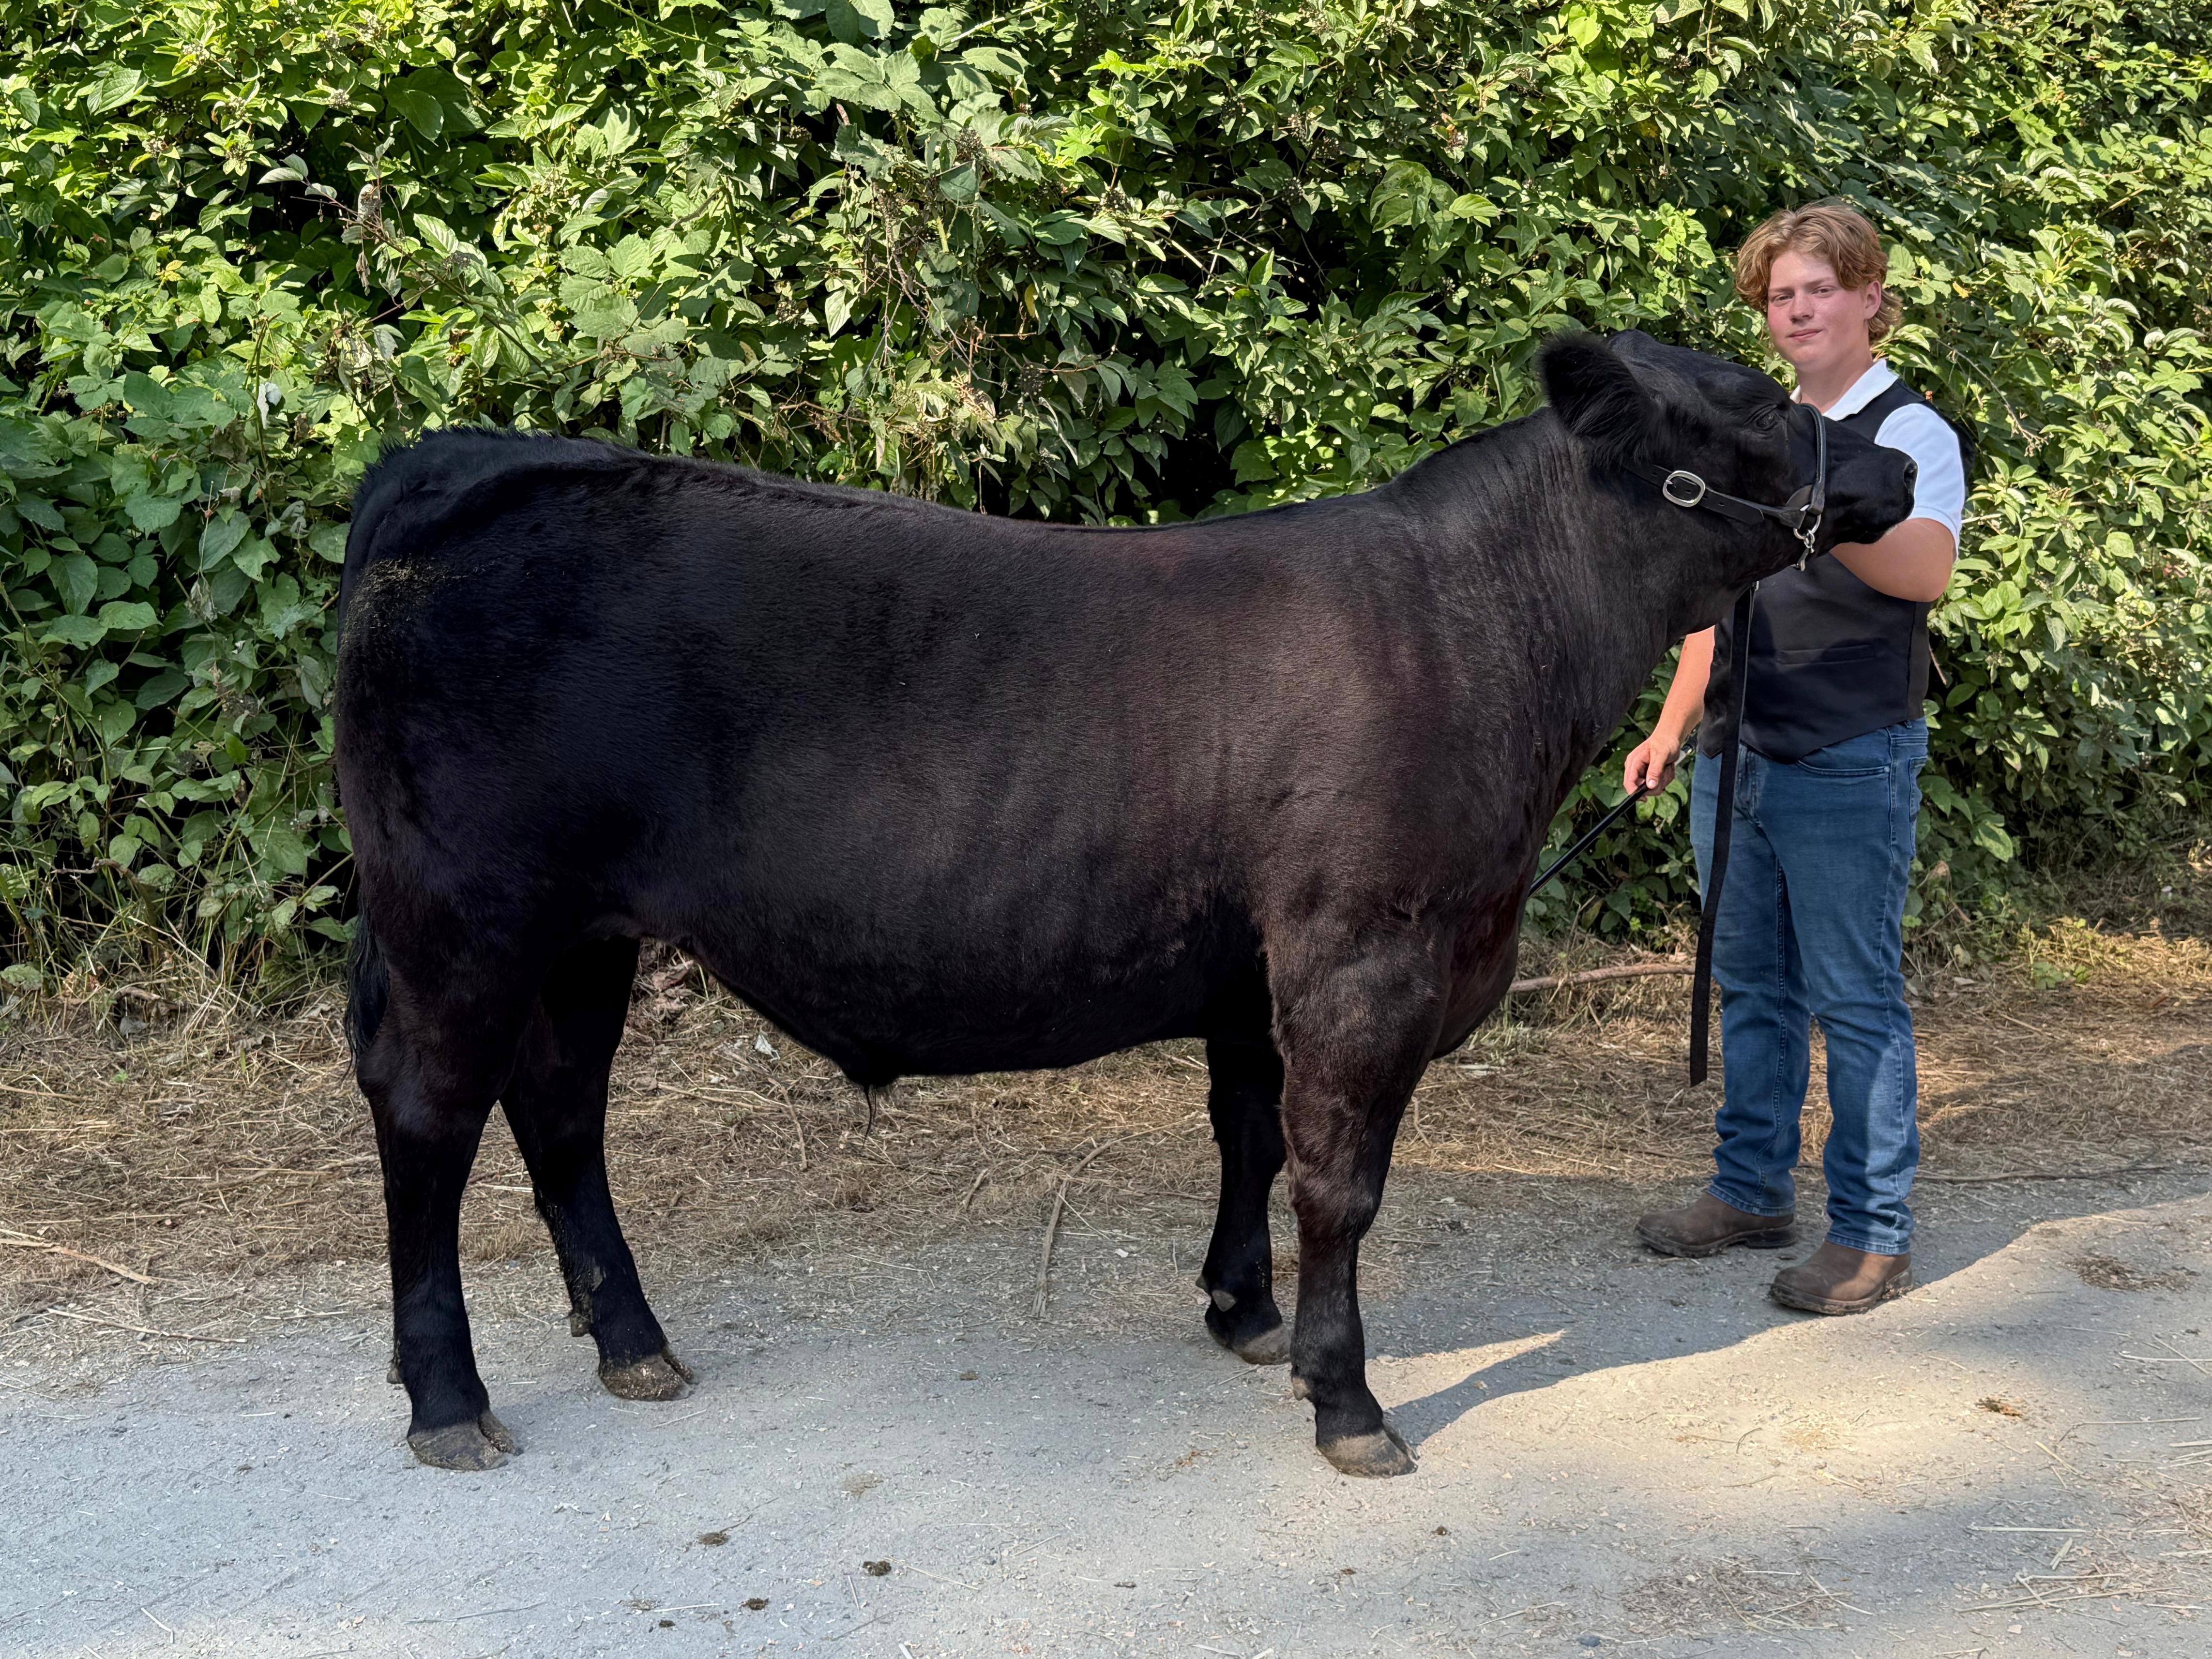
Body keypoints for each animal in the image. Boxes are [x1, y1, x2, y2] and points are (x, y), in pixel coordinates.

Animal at [335, 330, 1914, 1476]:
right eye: (1747, 406)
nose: (1898, 462)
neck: (1487, 633)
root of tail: (474, 459)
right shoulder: (1362, 951)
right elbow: (1338, 1175)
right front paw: (1346, 1399)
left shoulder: (1252, 966)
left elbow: (1249, 1138)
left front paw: (1243, 1310)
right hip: (465, 915)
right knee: (429, 1117)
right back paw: (450, 1396)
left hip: (581, 932)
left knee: (560, 1110)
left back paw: (630, 1339)